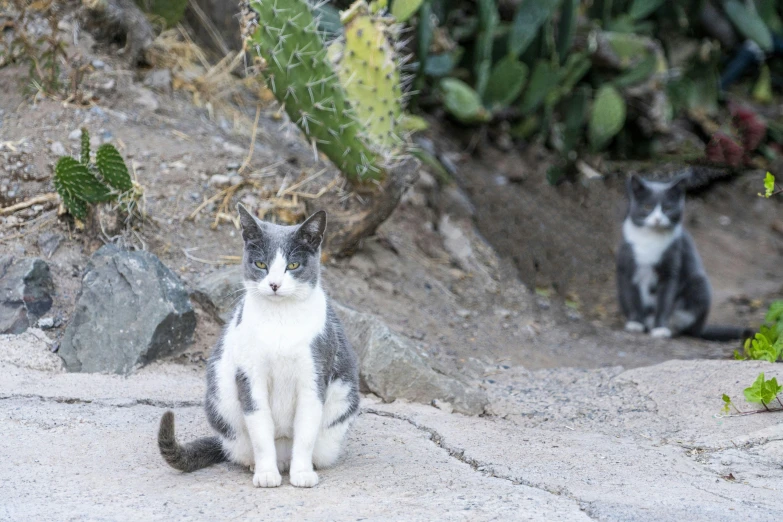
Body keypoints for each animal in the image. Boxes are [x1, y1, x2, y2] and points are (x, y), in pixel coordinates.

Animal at [157, 205, 364, 486]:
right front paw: (266, 473)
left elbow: (306, 431)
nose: (274, 284)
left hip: (338, 415)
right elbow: (261, 429)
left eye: (293, 265)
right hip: (224, 408)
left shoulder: (315, 373)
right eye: (261, 264)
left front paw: (302, 474)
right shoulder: (249, 376)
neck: (279, 319)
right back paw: (259, 465)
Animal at [620, 173, 752, 340]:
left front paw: (660, 328)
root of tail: (700, 327)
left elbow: (665, 301)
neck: (650, 240)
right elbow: (632, 298)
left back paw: (670, 328)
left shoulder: (672, 265)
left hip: (698, 284)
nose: (657, 219)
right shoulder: (628, 266)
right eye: (647, 207)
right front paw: (635, 323)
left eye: (668, 208)